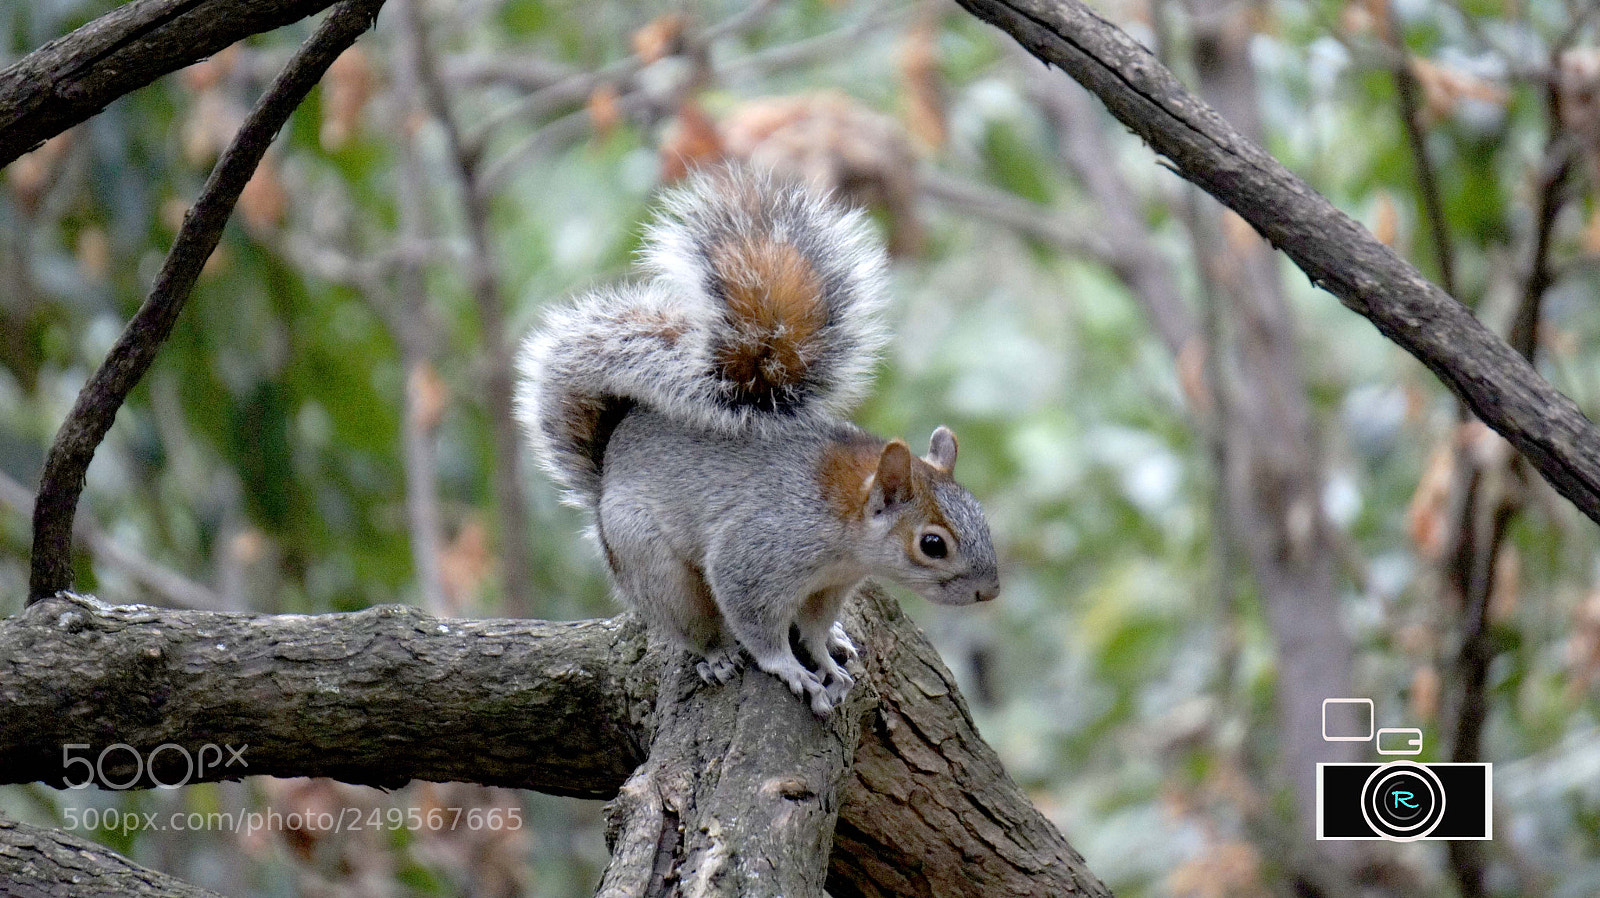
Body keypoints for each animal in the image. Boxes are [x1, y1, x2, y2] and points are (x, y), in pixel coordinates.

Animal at [515, 166, 999, 715]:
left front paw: (825, 658)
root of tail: (607, 468)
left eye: (980, 512)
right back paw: (717, 655)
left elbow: (813, 628)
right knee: (692, 623)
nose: (989, 592)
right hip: (651, 563)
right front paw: (790, 668)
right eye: (932, 544)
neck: (842, 523)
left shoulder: (828, 587)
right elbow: (758, 625)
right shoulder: (757, 553)